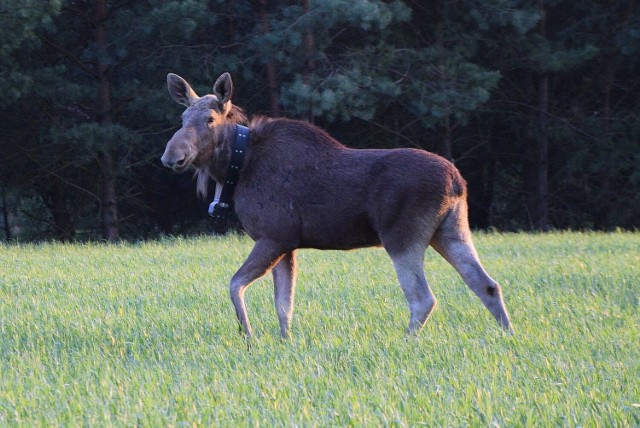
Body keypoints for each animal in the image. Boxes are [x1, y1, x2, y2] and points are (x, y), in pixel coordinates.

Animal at [161, 72, 516, 338]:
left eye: (209, 118)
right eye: (182, 116)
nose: (171, 156)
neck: (235, 168)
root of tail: (458, 181)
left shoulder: (273, 236)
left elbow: (236, 285)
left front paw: (249, 336)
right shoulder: (287, 244)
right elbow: (284, 303)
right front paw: (285, 342)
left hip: (402, 235)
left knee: (422, 298)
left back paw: (404, 341)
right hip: (450, 230)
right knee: (486, 284)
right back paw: (508, 336)